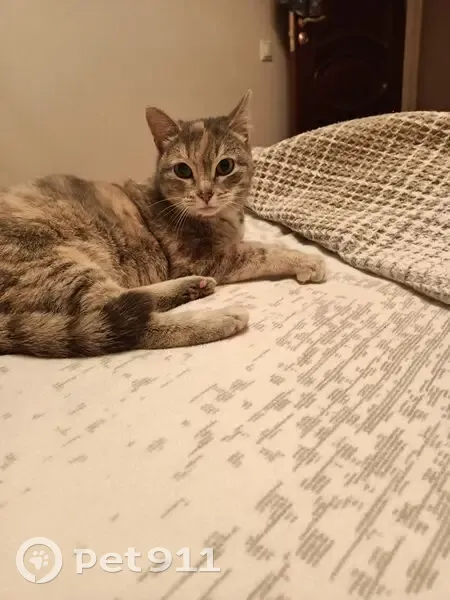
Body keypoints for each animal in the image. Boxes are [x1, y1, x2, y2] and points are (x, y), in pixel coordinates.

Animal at [0, 91, 326, 358]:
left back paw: (192, 287)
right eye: (182, 170)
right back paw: (219, 317)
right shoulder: (205, 258)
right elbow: (262, 251)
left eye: (225, 166)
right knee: (130, 320)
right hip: (61, 265)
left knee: (135, 299)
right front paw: (307, 260)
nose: (205, 193)